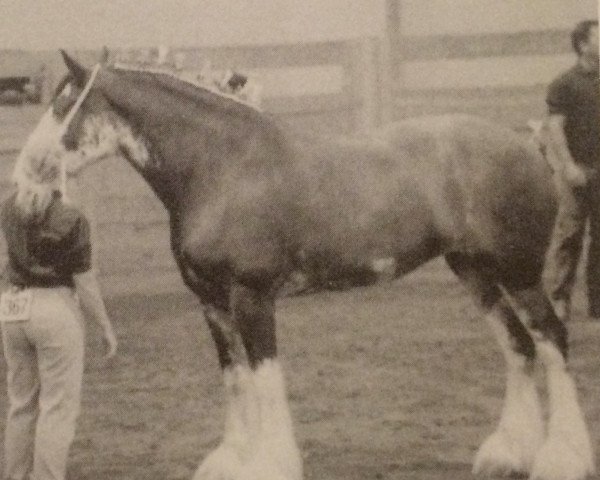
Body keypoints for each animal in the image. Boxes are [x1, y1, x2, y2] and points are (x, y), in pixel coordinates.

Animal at [14, 52, 596, 480]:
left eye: (63, 105)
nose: (23, 187)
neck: (221, 167)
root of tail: (527, 146)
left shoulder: (251, 297)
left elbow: (265, 376)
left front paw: (271, 463)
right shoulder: (211, 305)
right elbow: (235, 379)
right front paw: (231, 460)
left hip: (518, 272)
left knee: (551, 339)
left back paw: (561, 458)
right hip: (475, 272)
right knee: (519, 346)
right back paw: (507, 454)